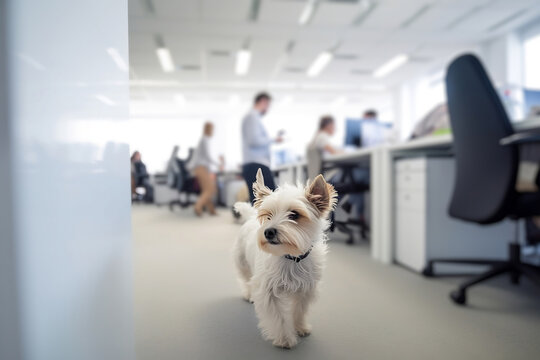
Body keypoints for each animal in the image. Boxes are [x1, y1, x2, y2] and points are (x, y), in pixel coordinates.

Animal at [233, 169, 336, 348]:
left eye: (294, 215)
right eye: (268, 215)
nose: (268, 231)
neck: (290, 257)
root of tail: (250, 217)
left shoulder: (306, 290)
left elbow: (299, 311)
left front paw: (300, 327)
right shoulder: (268, 293)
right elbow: (278, 318)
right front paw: (285, 339)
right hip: (243, 263)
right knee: (246, 279)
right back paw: (249, 294)